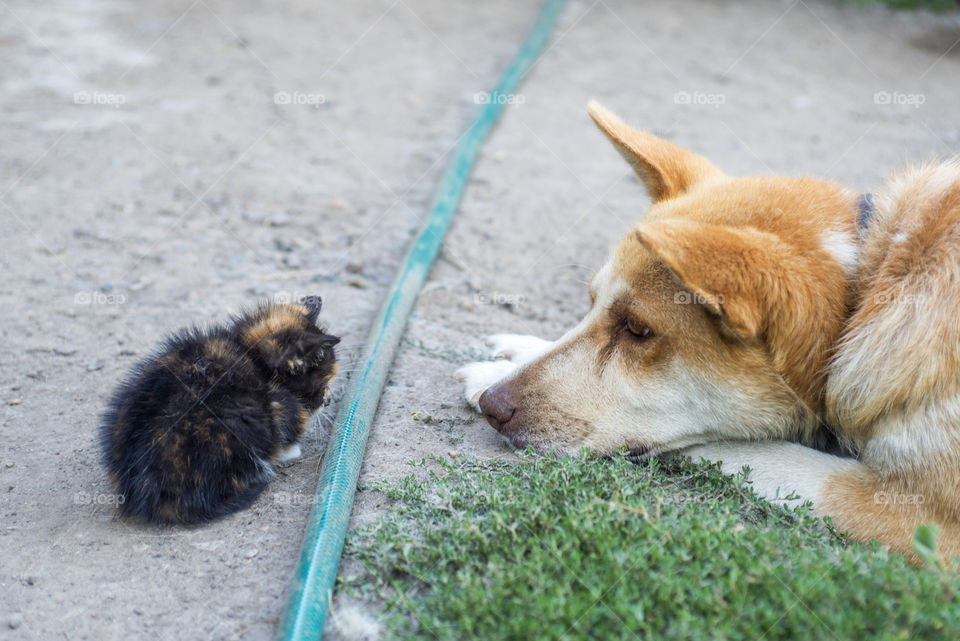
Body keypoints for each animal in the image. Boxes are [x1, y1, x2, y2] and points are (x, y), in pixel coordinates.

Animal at [100, 298, 340, 524]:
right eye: (323, 385)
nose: (328, 401)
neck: (253, 357)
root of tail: (145, 490)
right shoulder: (281, 403)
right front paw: (290, 450)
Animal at [456, 102, 960, 556]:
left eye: (637, 329)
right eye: (591, 302)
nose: (493, 405)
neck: (865, 292)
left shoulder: (917, 515)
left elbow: (745, 449)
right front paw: (515, 353)